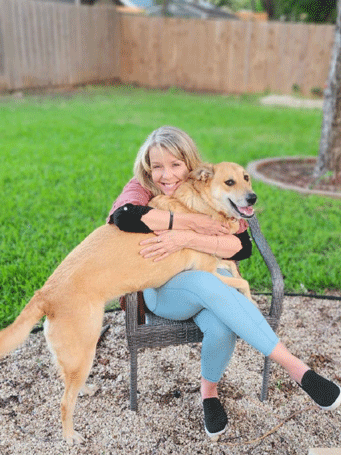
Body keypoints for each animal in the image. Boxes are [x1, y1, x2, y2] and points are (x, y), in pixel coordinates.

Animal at [0, 163, 255, 446]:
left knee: (67, 382)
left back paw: (86, 390)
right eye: (229, 182)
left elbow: (235, 270)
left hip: (77, 358)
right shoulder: (208, 272)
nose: (253, 198)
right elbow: (242, 283)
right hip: (83, 352)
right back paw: (69, 436)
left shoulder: (218, 262)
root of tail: (45, 294)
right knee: (65, 402)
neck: (198, 207)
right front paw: (250, 301)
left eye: (247, 178)